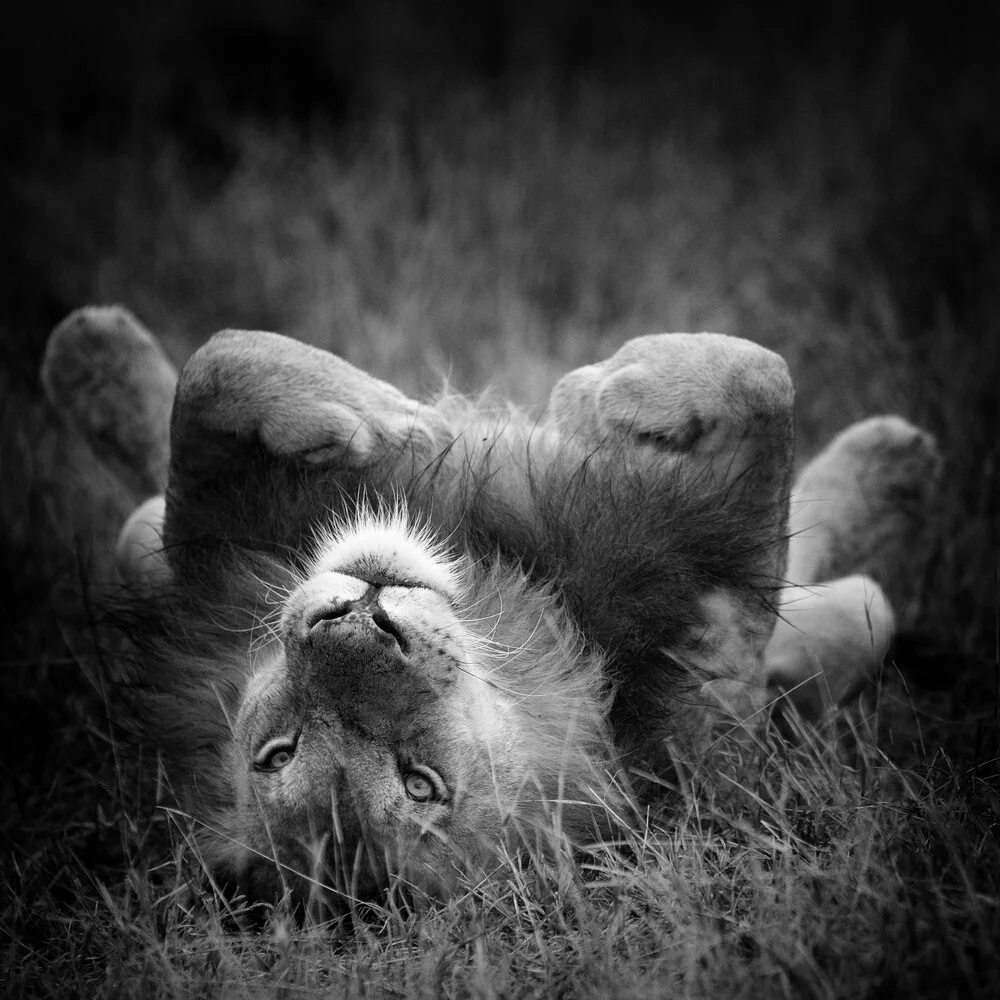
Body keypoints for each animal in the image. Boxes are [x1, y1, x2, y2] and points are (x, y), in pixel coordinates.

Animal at [43, 308, 940, 912]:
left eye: (275, 754)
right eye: (422, 784)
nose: (362, 625)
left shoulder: (210, 554)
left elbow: (209, 374)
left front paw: (383, 412)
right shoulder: (720, 656)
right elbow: (767, 398)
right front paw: (597, 392)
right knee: (858, 600)